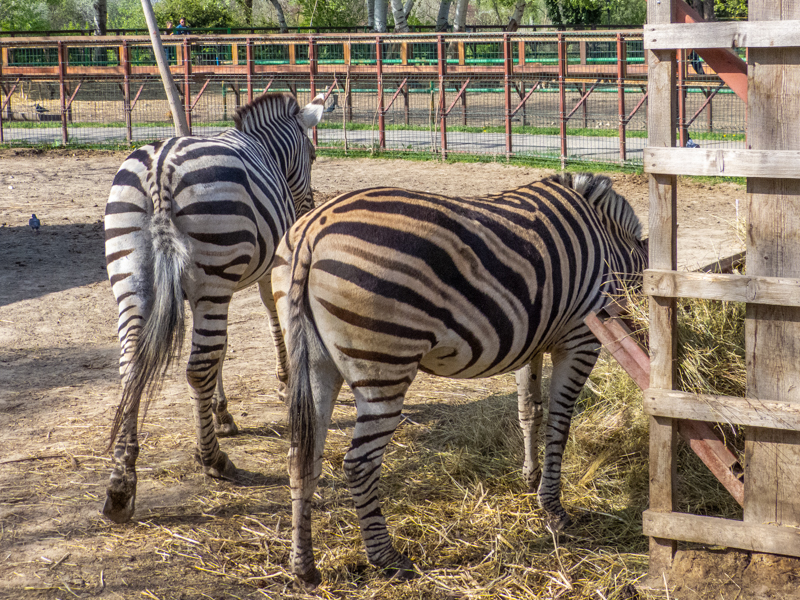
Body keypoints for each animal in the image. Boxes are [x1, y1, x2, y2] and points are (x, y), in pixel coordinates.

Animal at [103, 92, 324, 524]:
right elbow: (268, 317)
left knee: (132, 367)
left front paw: (221, 413)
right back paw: (213, 460)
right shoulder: (263, 266)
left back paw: (121, 484)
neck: (266, 148)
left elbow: (222, 350)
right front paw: (283, 379)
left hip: (133, 276)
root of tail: (160, 169)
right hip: (212, 274)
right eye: (311, 153)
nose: (306, 208)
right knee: (198, 366)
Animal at [271, 173, 648, 586]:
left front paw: (531, 479)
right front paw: (553, 509)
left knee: (301, 457)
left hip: (314, 362)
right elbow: (559, 425)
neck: (614, 248)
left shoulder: (531, 337)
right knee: (358, 464)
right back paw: (387, 558)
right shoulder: (580, 338)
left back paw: (304, 567)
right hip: (385, 363)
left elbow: (530, 412)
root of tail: (311, 230)